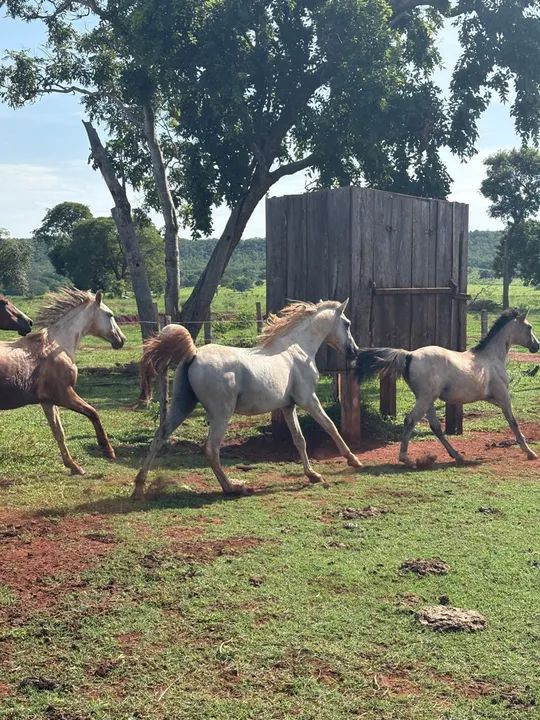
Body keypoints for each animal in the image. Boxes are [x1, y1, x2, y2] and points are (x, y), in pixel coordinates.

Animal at [0, 288, 126, 475]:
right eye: (109, 314)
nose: (121, 340)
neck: (57, 346)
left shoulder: (48, 401)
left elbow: (58, 432)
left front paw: (74, 466)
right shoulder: (64, 394)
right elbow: (93, 412)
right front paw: (108, 451)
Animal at [133, 299, 361, 499]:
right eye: (347, 324)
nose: (355, 351)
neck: (296, 348)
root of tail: (194, 354)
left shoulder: (288, 406)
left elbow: (299, 439)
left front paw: (312, 475)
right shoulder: (308, 400)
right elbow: (331, 426)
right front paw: (353, 460)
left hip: (183, 405)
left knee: (159, 436)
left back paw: (139, 488)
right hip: (221, 413)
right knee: (211, 449)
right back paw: (233, 487)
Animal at [353, 308, 539, 466]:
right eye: (529, 327)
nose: (536, 346)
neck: (491, 358)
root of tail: (410, 355)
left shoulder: (492, 398)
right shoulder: (503, 396)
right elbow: (513, 422)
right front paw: (530, 453)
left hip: (427, 400)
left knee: (435, 427)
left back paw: (457, 455)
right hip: (425, 398)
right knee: (410, 420)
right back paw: (406, 459)